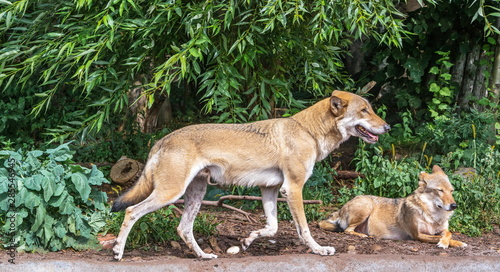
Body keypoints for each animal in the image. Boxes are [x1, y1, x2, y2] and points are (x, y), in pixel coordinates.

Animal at [110, 91, 390, 260]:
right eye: (364, 111)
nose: (387, 127)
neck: (308, 132)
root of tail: (162, 139)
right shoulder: (294, 188)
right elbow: (304, 229)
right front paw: (320, 250)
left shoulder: (271, 189)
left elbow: (272, 227)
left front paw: (246, 241)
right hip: (170, 193)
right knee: (131, 211)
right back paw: (118, 252)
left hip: (194, 195)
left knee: (183, 229)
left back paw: (204, 256)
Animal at [318, 165, 466, 250]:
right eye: (440, 190)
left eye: (451, 191)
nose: (454, 205)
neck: (433, 216)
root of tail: (340, 209)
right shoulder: (417, 235)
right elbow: (439, 238)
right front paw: (446, 243)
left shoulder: (441, 230)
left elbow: (449, 233)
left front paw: (454, 242)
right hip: (367, 205)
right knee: (347, 230)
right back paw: (363, 236)